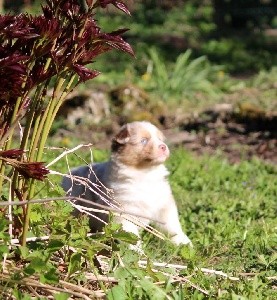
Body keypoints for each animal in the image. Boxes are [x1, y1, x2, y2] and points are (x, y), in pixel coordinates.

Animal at [61, 120, 191, 247]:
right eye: (144, 140)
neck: (145, 173)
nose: (163, 146)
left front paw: (184, 243)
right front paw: (137, 252)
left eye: (160, 139)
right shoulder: (123, 212)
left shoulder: (163, 204)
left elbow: (172, 226)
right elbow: (131, 236)